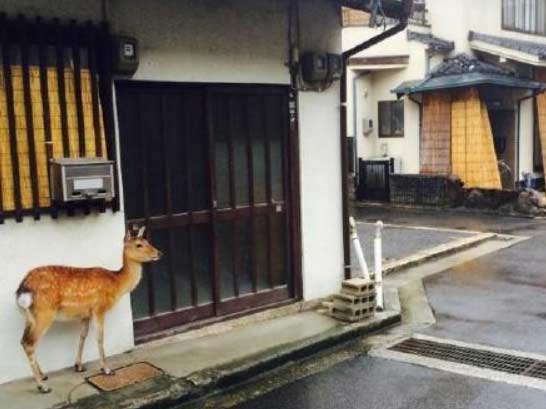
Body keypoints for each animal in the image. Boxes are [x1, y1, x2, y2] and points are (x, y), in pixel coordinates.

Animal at [14, 225, 159, 390]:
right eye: (139, 245)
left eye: (147, 241)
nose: (159, 253)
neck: (116, 284)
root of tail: (22, 290)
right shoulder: (99, 308)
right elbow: (100, 337)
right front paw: (106, 369)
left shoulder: (85, 314)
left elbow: (83, 335)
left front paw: (78, 366)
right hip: (44, 312)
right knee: (29, 343)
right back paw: (43, 386)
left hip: (29, 315)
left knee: (24, 340)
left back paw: (43, 375)